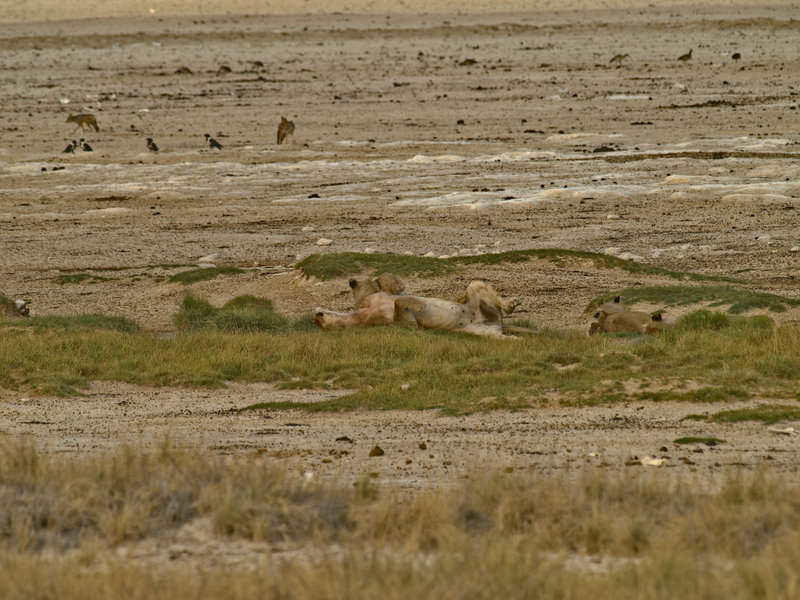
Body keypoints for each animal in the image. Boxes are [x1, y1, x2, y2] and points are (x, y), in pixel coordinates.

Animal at [314, 275, 524, 339]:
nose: (316, 314)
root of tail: (496, 322)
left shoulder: (370, 296)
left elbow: (382, 283)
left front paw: (398, 285)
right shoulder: (406, 326)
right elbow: (401, 305)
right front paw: (419, 302)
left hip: (475, 286)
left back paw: (512, 303)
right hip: (479, 331)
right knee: (503, 336)